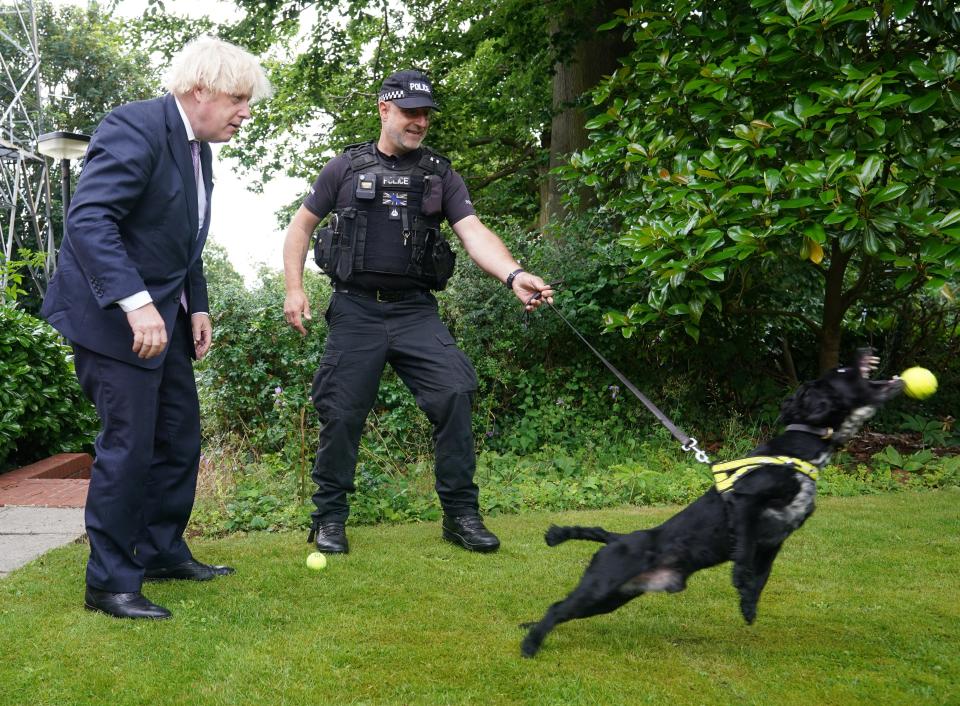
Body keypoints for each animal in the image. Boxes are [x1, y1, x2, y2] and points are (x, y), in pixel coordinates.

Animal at [520, 348, 904, 656]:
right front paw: (741, 586)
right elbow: (744, 555)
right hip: (601, 586)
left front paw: (748, 605)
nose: (865, 349)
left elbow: (762, 575)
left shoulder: (776, 539)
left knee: (560, 607)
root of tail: (618, 538)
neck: (801, 448)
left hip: (614, 597)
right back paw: (530, 645)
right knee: (556, 608)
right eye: (843, 370)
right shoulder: (745, 503)